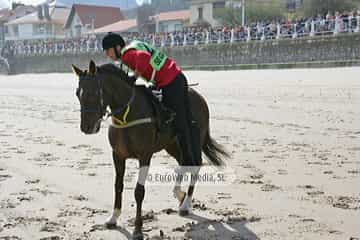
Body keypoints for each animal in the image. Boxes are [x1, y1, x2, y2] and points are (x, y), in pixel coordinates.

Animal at [70, 61, 229, 239]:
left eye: (93, 92)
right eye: (77, 93)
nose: (86, 127)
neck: (127, 114)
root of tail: (199, 97)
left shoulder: (144, 155)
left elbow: (139, 191)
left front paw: (138, 229)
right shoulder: (118, 155)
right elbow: (118, 185)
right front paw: (113, 217)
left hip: (192, 138)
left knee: (194, 164)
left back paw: (186, 204)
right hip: (172, 145)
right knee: (183, 162)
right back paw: (179, 194)